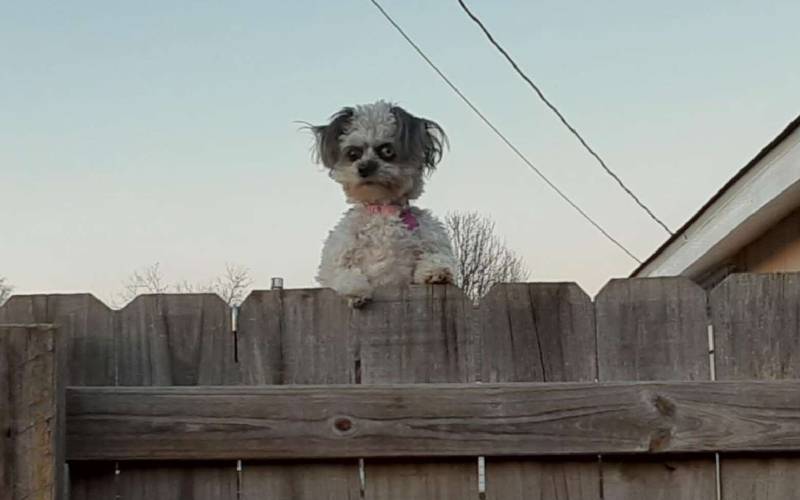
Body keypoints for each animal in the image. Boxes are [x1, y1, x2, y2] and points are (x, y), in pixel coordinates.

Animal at [310, 100, 456, 306]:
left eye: (387, 150)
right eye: (353, 153)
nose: (364, 168)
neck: (383, 209)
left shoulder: (432, 240)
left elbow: (438, 257)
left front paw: (436, 272)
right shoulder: (336, 257)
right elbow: (342, 272)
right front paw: (355, 289)